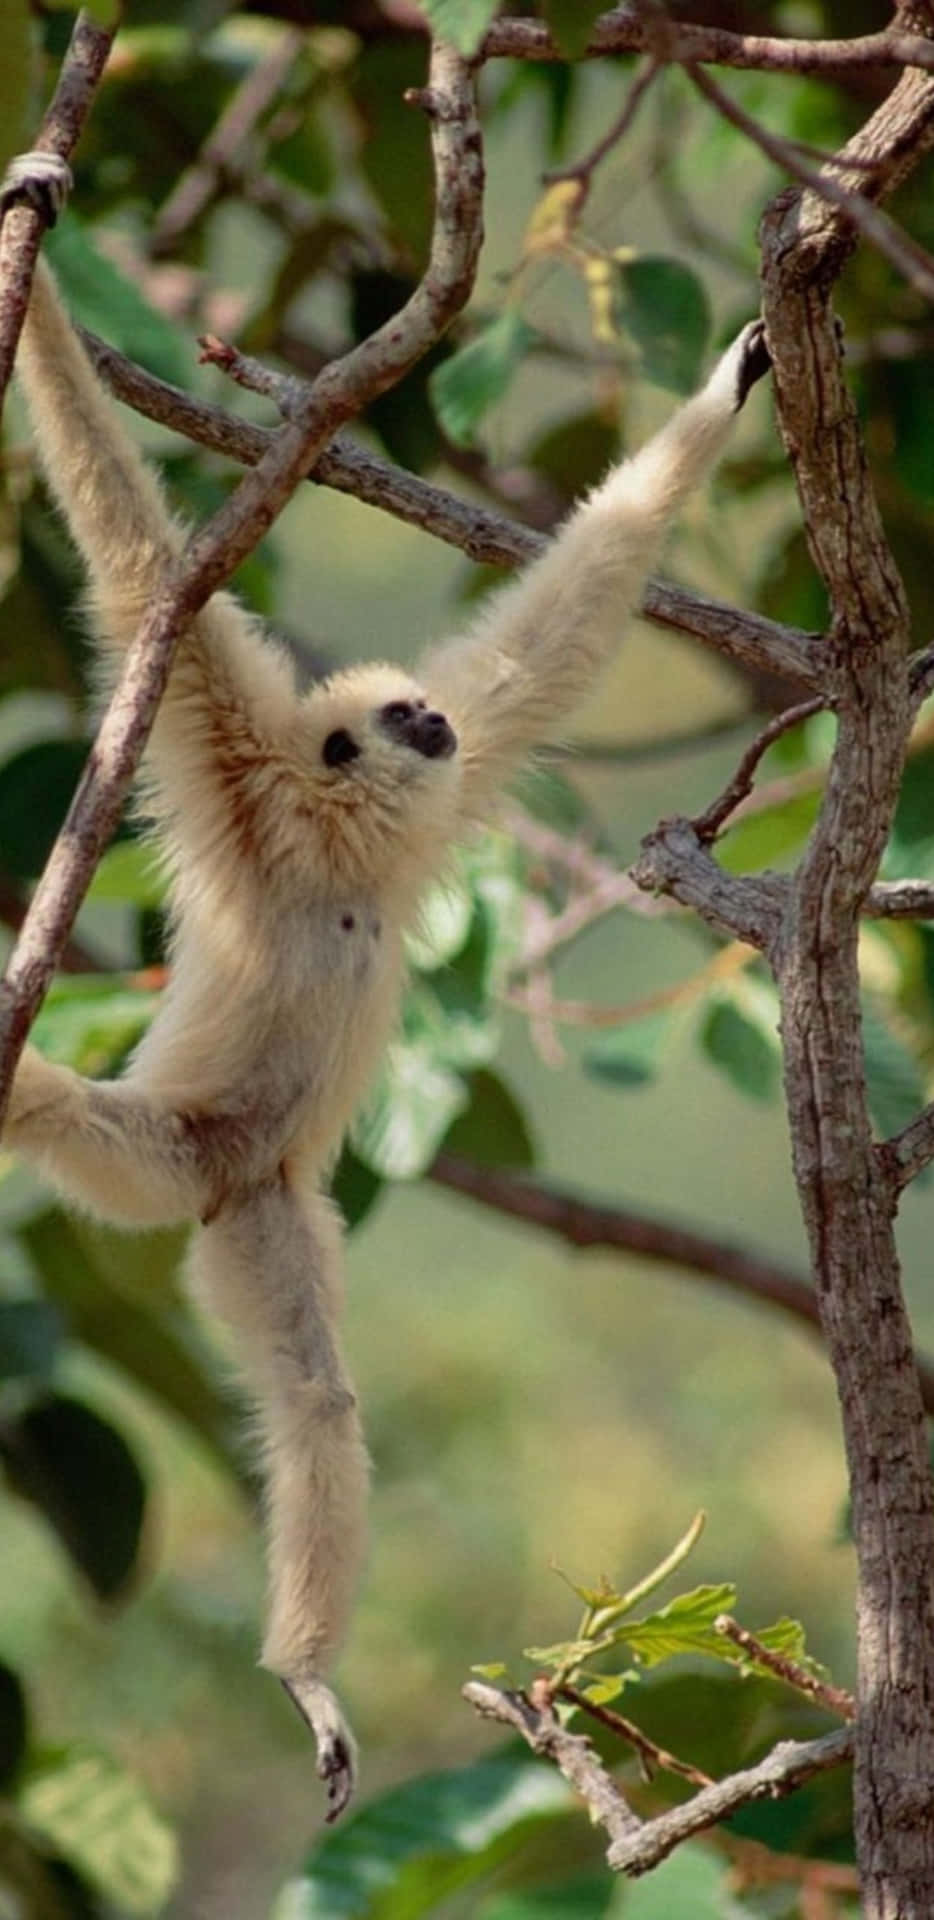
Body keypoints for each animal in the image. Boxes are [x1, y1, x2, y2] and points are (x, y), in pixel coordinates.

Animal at [0, 151, 769, 1821]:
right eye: (393, 720)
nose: (423, 723)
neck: (344, 853)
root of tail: (226, 1167)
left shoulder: (448, 786)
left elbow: (551, 640)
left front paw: (735, 380)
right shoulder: (231, 752)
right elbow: (139, 562)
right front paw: (32, 227)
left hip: (267, 1210)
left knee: (315, 1410)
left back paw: (306, 1669)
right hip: (160, 1164)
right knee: (49, 1112)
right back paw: (305, 1675)